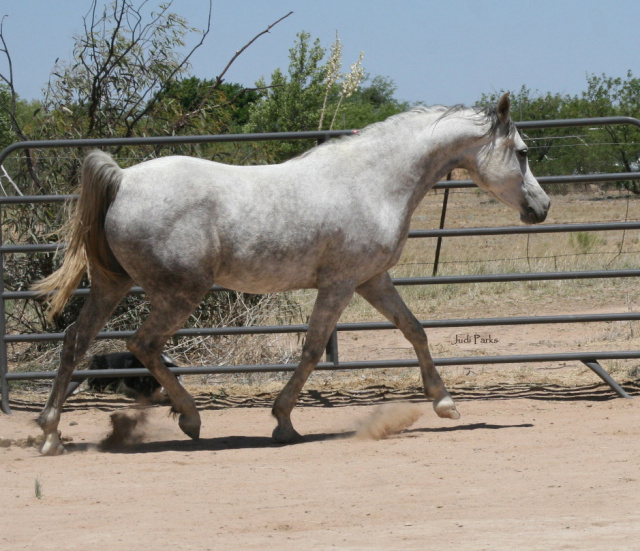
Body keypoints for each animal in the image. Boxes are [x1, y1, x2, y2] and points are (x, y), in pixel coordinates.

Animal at [31, 95, 552, 454]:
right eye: (523, 152)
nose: (542, 207)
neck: (373, 182)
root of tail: (123, 179)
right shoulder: (339, 285)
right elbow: (313, 349)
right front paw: (282, 422)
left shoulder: (372, 281)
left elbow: (415, 331)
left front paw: (445, 403)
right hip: (180, 291)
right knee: (144, 345)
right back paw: (190, 419)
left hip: (112, 284)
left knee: (76, 341)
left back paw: (51, 434)